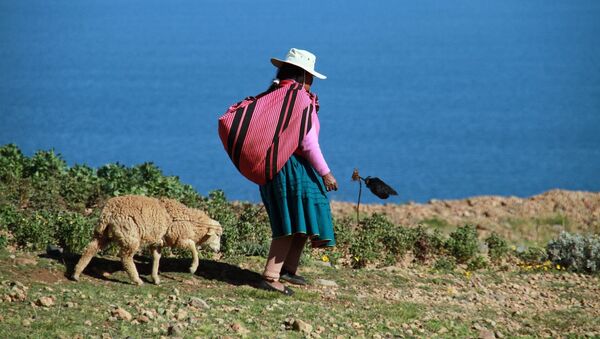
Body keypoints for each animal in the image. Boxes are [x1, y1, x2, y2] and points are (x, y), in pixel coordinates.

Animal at [70, 195, 220, 286]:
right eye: (218, 235)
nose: (218, 249)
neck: (190, 221)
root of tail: (108, 212)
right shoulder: (178, 238)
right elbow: (193, 246)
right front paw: (193, 267)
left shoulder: (157, 242)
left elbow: (156, 259)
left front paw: (155, 278)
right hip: (129, 235)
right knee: (125, 257)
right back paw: (136, 280)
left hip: (103, 234)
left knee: (90, 249)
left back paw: (76, 273)